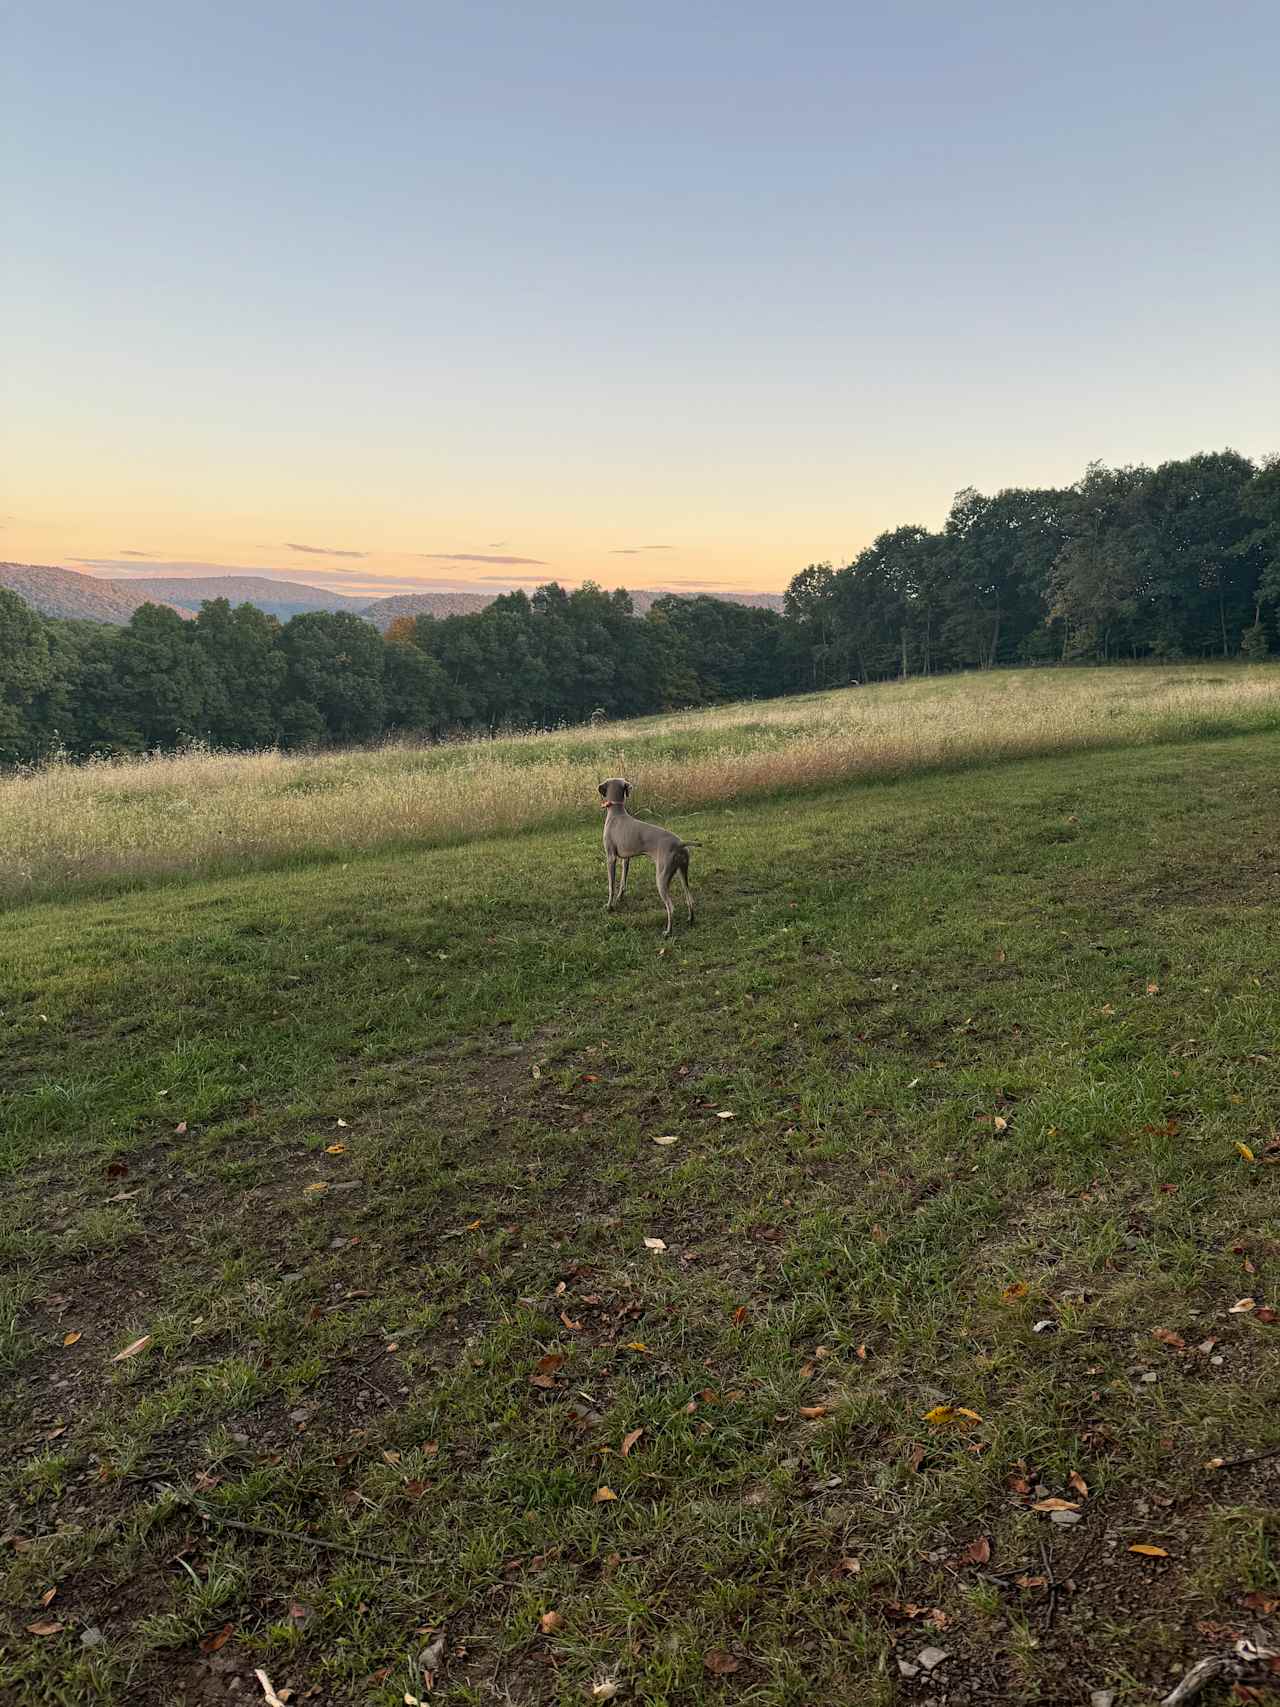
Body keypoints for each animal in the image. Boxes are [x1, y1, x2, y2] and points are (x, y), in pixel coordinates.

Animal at [600, 781, 696, 942]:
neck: (617, 814)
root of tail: (680, 844)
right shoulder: (626, 859)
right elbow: (623, 882)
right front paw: (620, 898)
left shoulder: (611, 857)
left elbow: (611, 886)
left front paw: (609, 906)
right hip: (682, 872)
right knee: (690, 898)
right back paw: (690, 920)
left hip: (661, 877)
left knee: (671, 907)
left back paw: (668, 932)